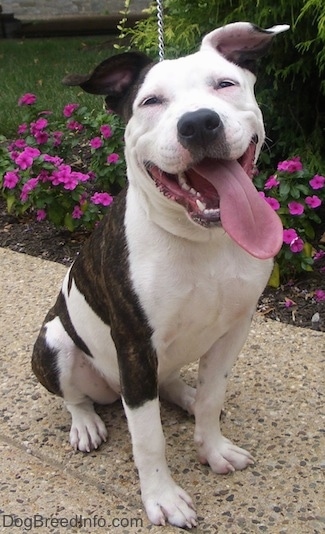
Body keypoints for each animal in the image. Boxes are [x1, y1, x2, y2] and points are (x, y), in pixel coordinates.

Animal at [31, 23, 288, 528]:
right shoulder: (133, 345)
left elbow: (212, 397)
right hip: (54, 344)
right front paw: (162, 497)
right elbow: (148, 437)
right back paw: (86, 423)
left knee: (170, 385)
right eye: (151, 101)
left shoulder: (234, 329)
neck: (203, 242)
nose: (200, 123)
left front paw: (212, 446)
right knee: (76, 396)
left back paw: (183, 394)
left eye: (224, 84)